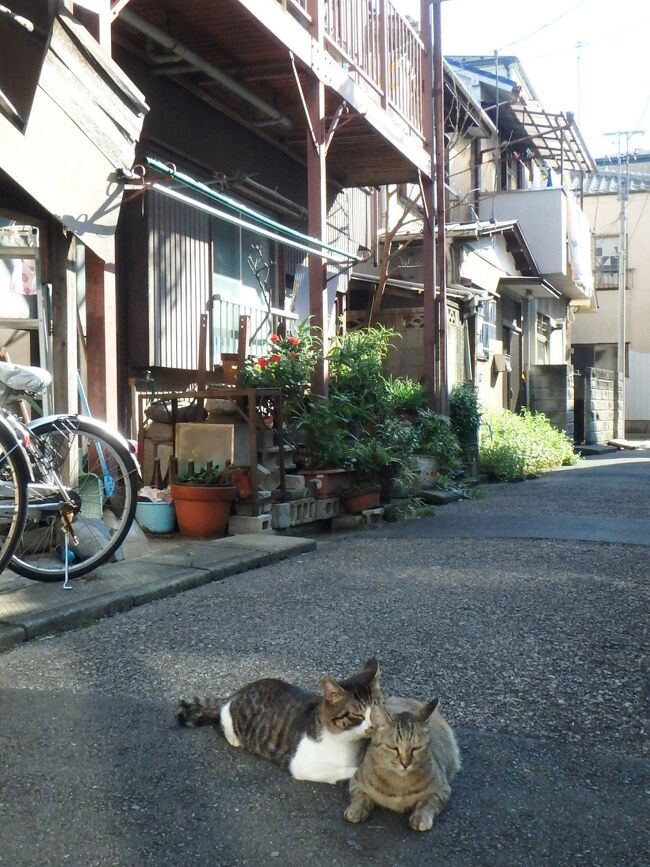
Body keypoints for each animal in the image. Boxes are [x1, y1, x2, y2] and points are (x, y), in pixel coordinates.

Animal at [175, 656, 382, 788]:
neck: (347, 742)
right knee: (223, 714)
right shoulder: (302, 765)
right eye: (358, 716)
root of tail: (238, 692)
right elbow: (349, 770)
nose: (374, 726)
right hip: (233, 714)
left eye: (378, 708)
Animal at [344, 696, 460, 832]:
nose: (405, 763)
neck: (399, 784)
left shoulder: (442, 788)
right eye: (393, 748)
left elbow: (429, 802)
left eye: (416, 748)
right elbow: (360, 796)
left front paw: (421, 816)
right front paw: (356, 809)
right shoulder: (356, 781)